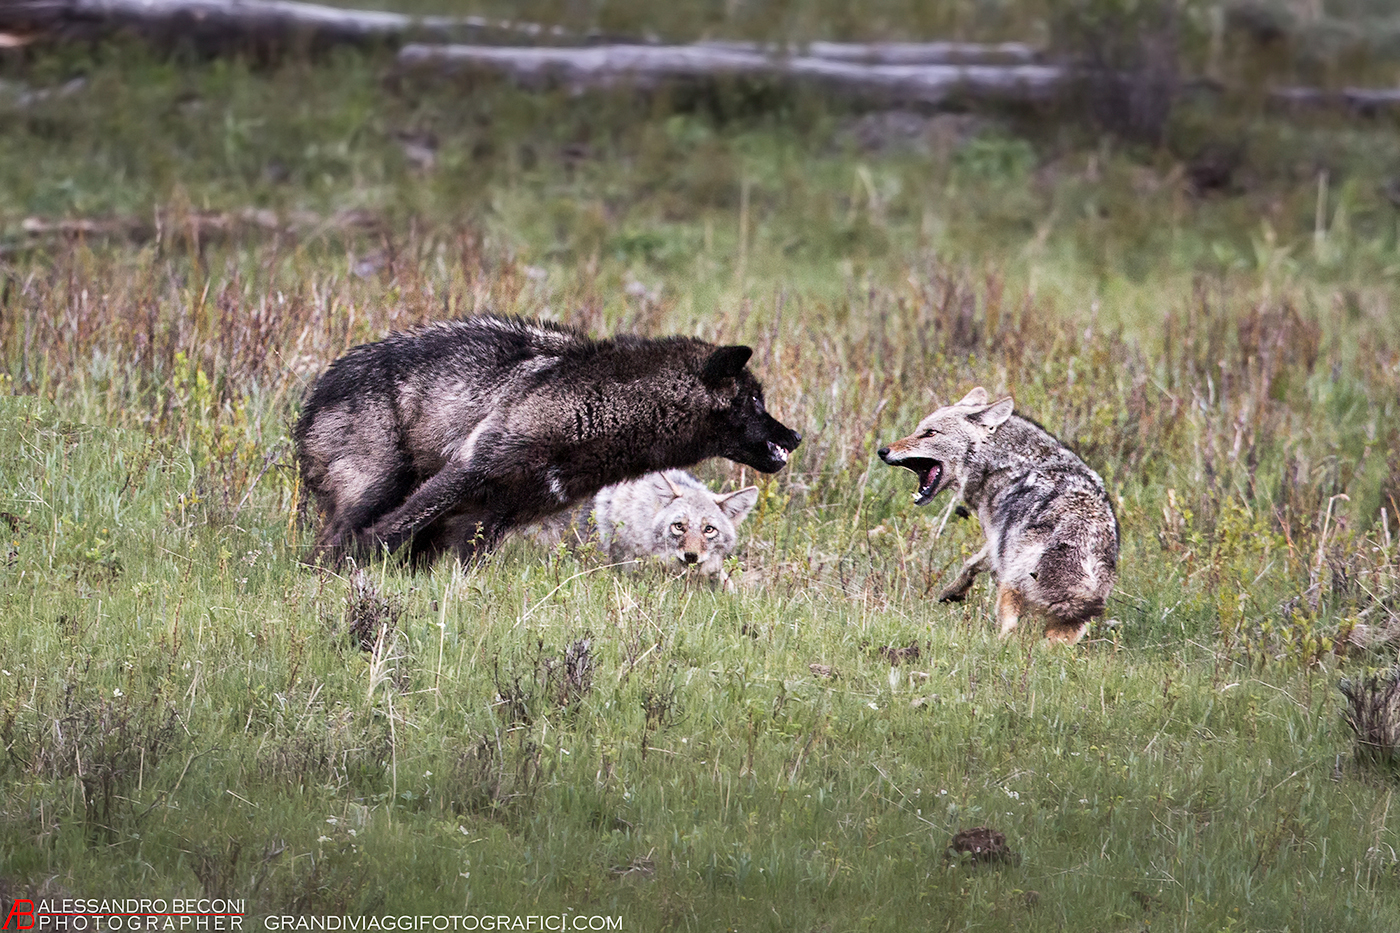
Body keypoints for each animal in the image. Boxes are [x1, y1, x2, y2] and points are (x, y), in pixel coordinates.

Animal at [294, 315, 801, 568]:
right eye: (755, 401)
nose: (794, 436)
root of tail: (315, 395)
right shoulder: (466, 476)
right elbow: (379, 538)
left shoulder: (491, 518)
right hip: (377, 490)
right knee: (338, 539)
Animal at [878, 387, 1118, 644]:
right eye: (917, 430)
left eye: (930, 433)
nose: (882, 451)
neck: (1004, 462)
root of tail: (1078, 532)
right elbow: (972, 563)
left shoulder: (995, 538)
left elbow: (970, 563)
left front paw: (952, 591)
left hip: (1011, 586)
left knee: (1009, 630)